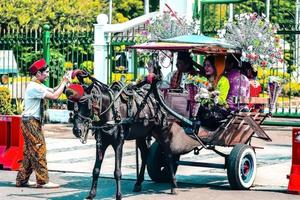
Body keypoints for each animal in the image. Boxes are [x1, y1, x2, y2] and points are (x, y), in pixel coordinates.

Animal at [66, 69, 178, 199]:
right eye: (71, 105)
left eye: (86, 104)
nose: (77, 130)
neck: (110, 112)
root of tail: (157, 97)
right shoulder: (101, 143)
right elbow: (96, 170)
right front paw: (91, 194)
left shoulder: (118, 143)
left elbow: (117, 171)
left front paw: (119, 195)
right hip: (141, 134)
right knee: (145, 153)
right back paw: (138, 182)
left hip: (161, 131)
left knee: (168, 154)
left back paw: (173, 185)